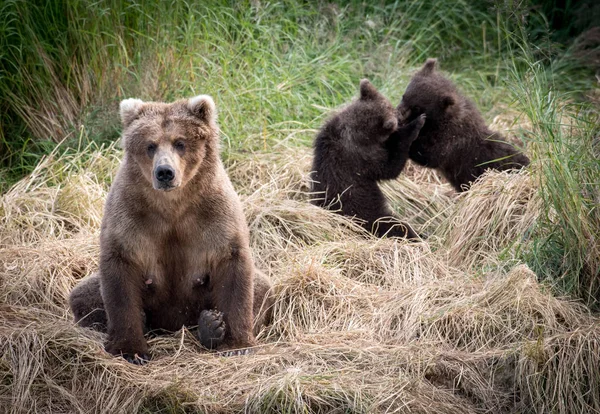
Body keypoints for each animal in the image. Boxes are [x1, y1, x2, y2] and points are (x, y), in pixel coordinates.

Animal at [70, 93, 274, 362]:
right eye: (150, 145)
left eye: (180, 143)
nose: (164, 172)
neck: (173, 205)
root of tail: (174, 326)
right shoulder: (130, 215)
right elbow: (119, 271)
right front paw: (130, 349)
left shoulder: (213, 213)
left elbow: (233, 266)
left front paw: (236, 344)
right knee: (81, 296)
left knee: (262, 289)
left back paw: (209, 326)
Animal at [312, 79, 424, 239]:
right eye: (395, 114)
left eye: (392, 106)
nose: (401, 116)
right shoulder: (361, 157)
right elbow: (389, 168)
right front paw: (415, 125)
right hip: (365, 214)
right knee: (394, 226)